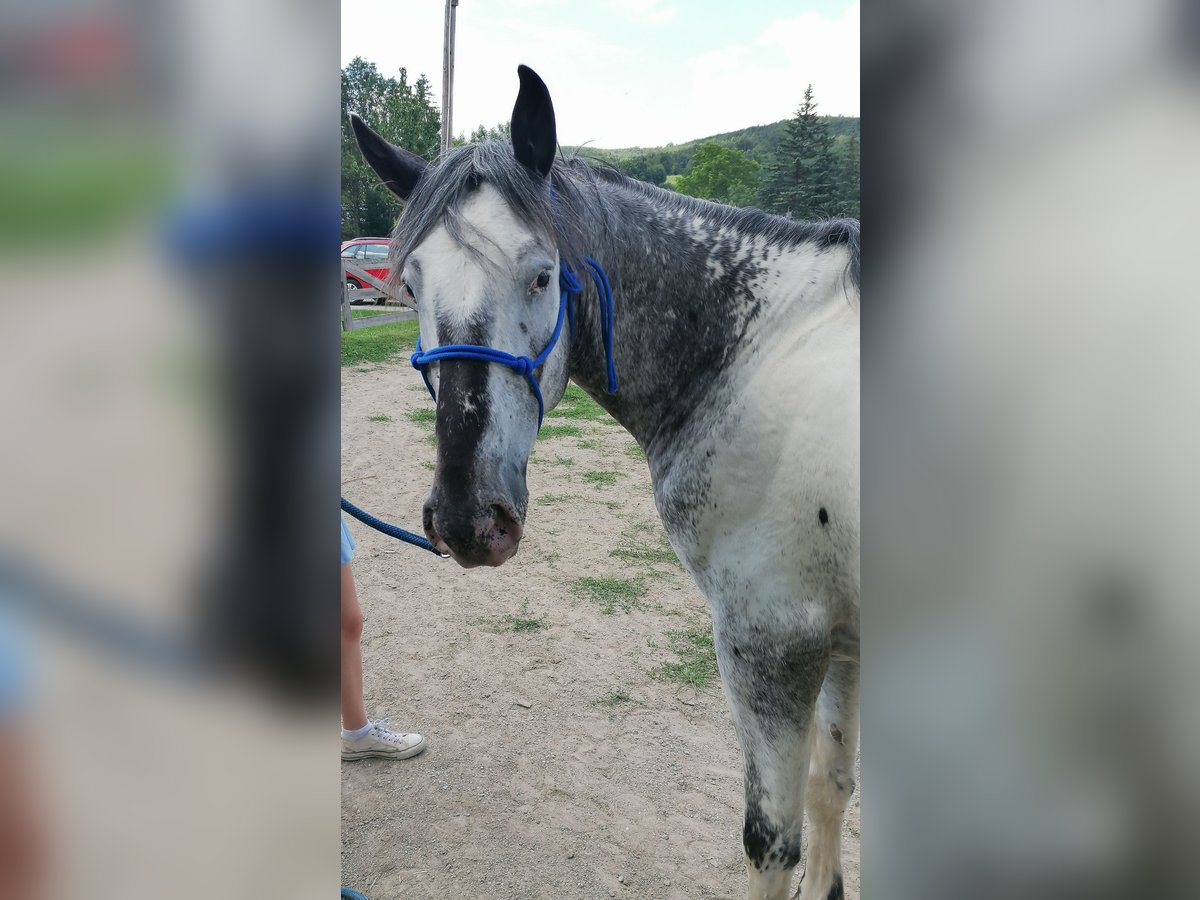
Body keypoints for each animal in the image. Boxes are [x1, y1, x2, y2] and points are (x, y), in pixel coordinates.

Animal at [350, 65, 859, 900]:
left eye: (542, 274)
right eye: (411, 283)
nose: (466, 518)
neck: (752, 356)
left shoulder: (773, 642)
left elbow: (771, 841)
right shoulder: (842, 641)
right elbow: (831, 789)